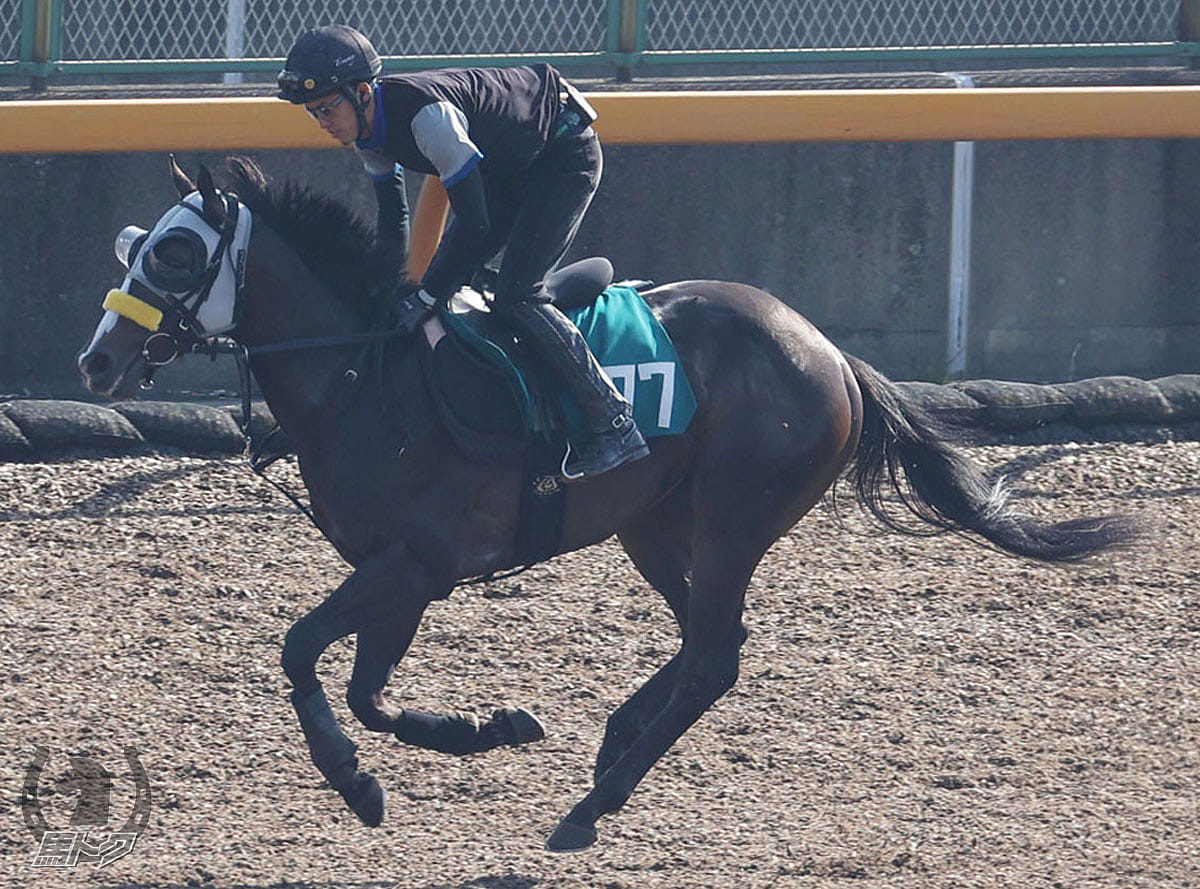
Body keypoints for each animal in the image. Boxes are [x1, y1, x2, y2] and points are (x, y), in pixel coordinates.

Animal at [77, 155, 1132, 849]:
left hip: (734, 515)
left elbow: (303, 653)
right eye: (134, 244)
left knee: (712, 655)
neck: (360, 378)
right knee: (713, 640)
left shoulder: (414, 562)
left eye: (175, 253)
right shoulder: (403, 572)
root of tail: (832, 352)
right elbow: (369, 690)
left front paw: (355, 782)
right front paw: (490, 728)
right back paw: (613, 743)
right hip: (653, 522)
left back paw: (593, 804)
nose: (96, 361)